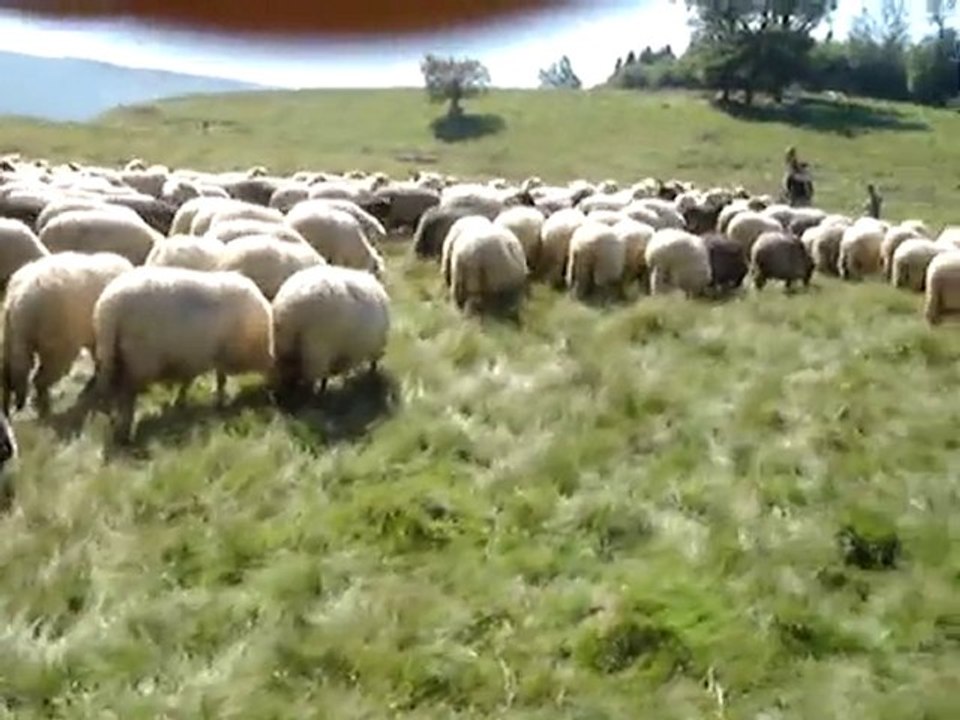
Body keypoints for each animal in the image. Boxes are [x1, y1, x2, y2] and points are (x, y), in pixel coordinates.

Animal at [2, 251, 134, 417]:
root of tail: (18, 301)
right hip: (56, 342)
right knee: (39, 378)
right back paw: (43, 408)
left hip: (11, 336)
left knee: (12, 371)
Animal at [92, 266, 275, 443]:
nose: (271, 398)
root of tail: (110, 305)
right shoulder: (217, 353)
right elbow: (216, 379)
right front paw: (219, 401)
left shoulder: (199, 355)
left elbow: (198, 379)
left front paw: (184, 401)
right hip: (139, 360)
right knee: (127, 395)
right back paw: (125, 431)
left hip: (113, 356)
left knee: (111, 393)